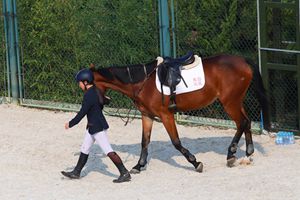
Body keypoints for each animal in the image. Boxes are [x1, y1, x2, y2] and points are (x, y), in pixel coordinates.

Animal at [91, 53, 270, 173]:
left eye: (87, 86)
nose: (103, 103)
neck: (143, 82)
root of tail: (242, 60)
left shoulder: (166, 115)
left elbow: (176, 142)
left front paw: (195, 162)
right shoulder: (147, 116)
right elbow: (145, 141)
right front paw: (139, 165)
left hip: (230, 102)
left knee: (241, 123)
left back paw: (231, 154)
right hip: (236, 101)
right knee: (246, 122)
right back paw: (248, 153)